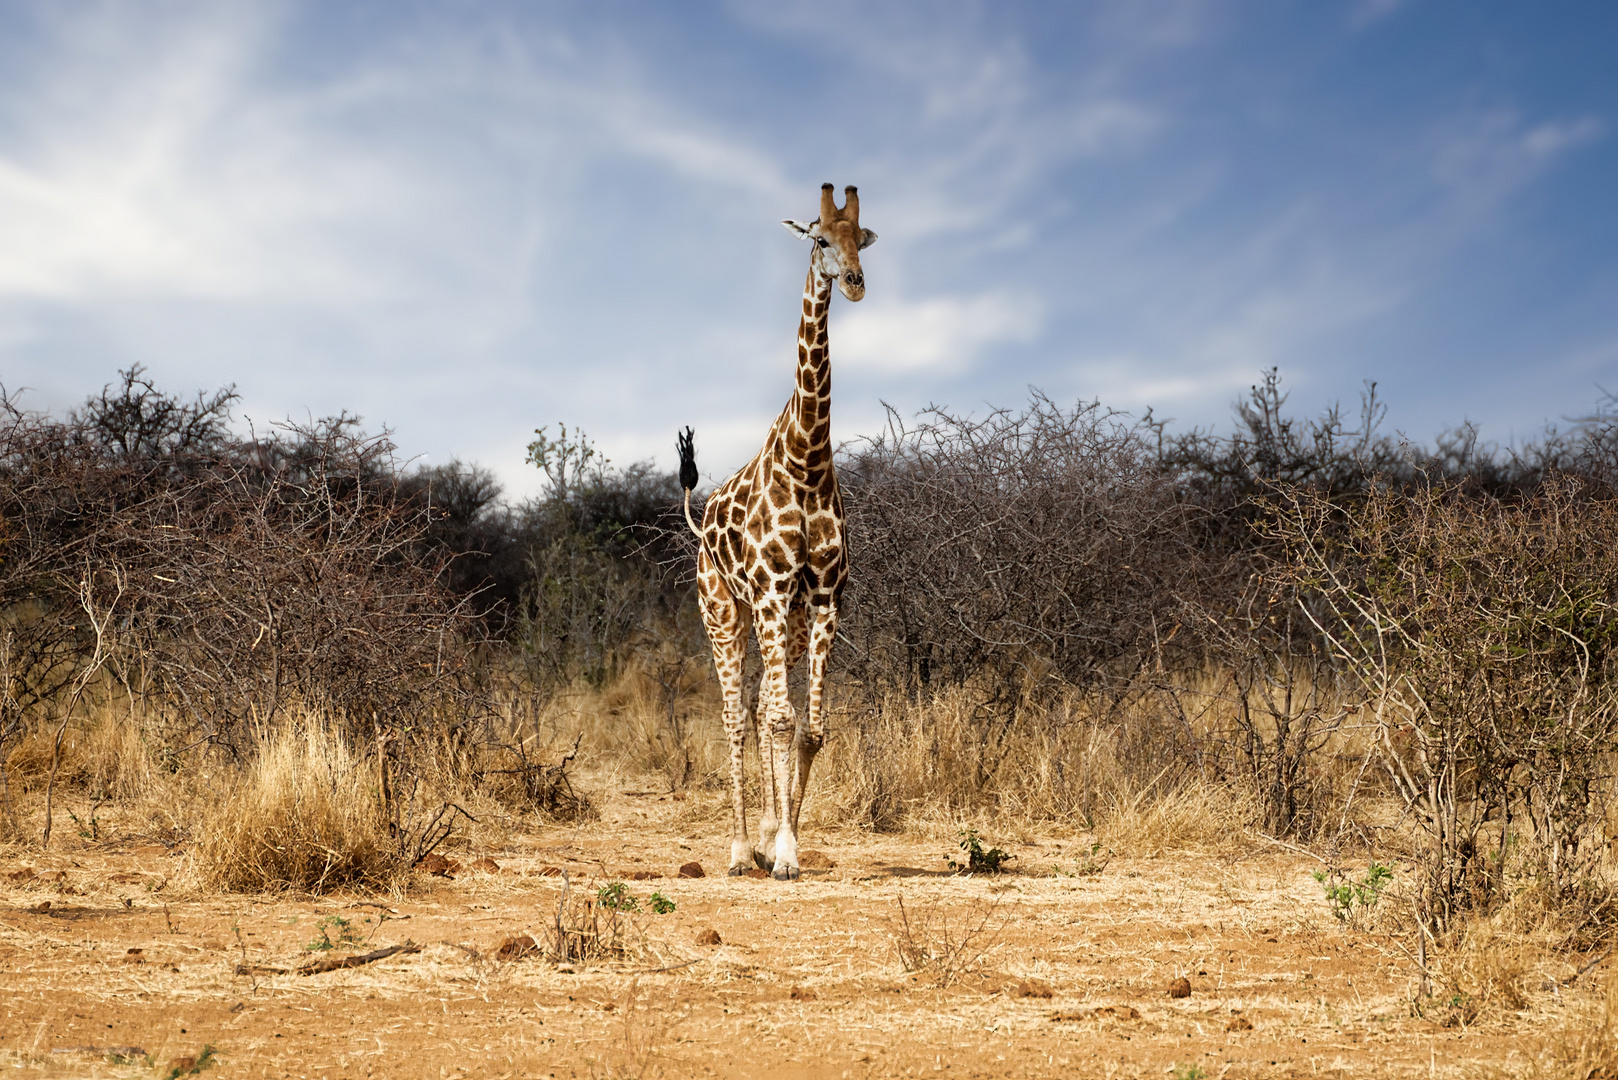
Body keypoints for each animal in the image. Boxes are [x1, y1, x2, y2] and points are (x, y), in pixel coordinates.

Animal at [673, 181, 873, 880]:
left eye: (862, 238)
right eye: (819, 238)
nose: (855, 282)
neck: (807, 459)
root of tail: (699, 519)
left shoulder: (823, 595)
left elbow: (808, 725)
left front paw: (784, 841)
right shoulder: (769, 589)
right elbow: (780, 719)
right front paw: (780, 852)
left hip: (777, 614)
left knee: (760, 710)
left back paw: (757, 838)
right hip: (724, 610)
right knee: (736, 716)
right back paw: (738, 849)